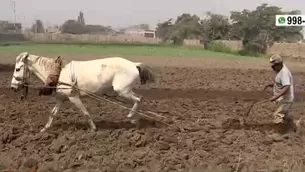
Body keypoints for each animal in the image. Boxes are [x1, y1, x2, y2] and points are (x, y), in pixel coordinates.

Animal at [10, 51, 156, 132]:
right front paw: (44, 129)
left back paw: (131, 117)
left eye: (18, 69)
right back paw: (135, 121)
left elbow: (85, 112)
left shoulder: (73, 97)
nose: (12, 87)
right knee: (138, 100)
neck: (59, 73)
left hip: (122, 90)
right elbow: (53, 113)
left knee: (138, 99)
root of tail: (134, 64)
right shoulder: (61, 98)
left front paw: (93, 128)